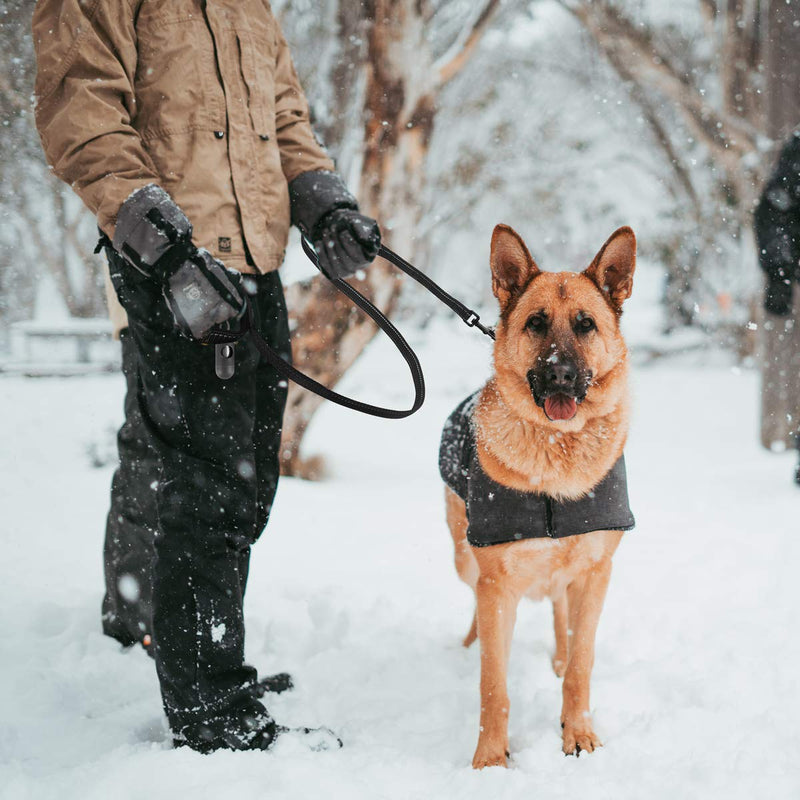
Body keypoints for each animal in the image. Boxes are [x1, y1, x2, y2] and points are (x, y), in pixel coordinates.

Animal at [440, 222, 636, 764]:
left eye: (586, 325)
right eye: (535, 323)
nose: (561, 375)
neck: (556, 450)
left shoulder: (595, 573)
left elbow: (582, 665)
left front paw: (578, 732)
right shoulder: (496, 584)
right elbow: (493, 684)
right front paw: (490, 759)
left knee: (559, 613)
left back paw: (558, 657)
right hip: (464, 557)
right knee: (475, 605)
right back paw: (467, 650)